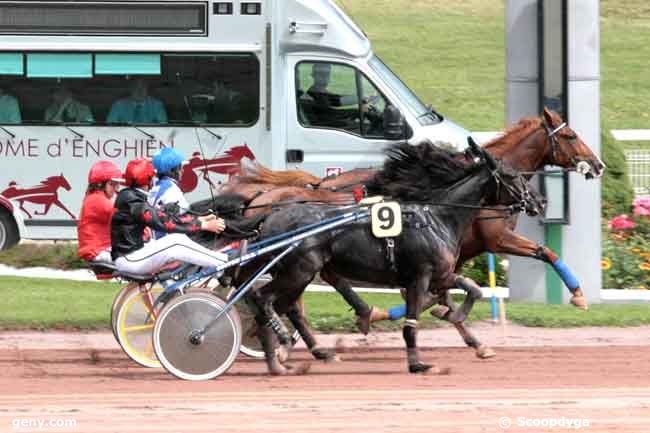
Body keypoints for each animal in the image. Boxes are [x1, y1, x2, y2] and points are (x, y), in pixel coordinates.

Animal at [240, 139, 536, 374]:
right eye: (511, 175)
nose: (537, 200)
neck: (436, 217)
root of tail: (271, 215)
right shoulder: (420, 277)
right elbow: (411, 323)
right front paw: (418, 363)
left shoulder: (441, 275)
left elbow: (473, 288)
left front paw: (453, 317)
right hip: (299, 270)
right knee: (264, 299)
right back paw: (281, 345)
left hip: (298, 272)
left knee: (283, 306)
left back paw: (282, 357)